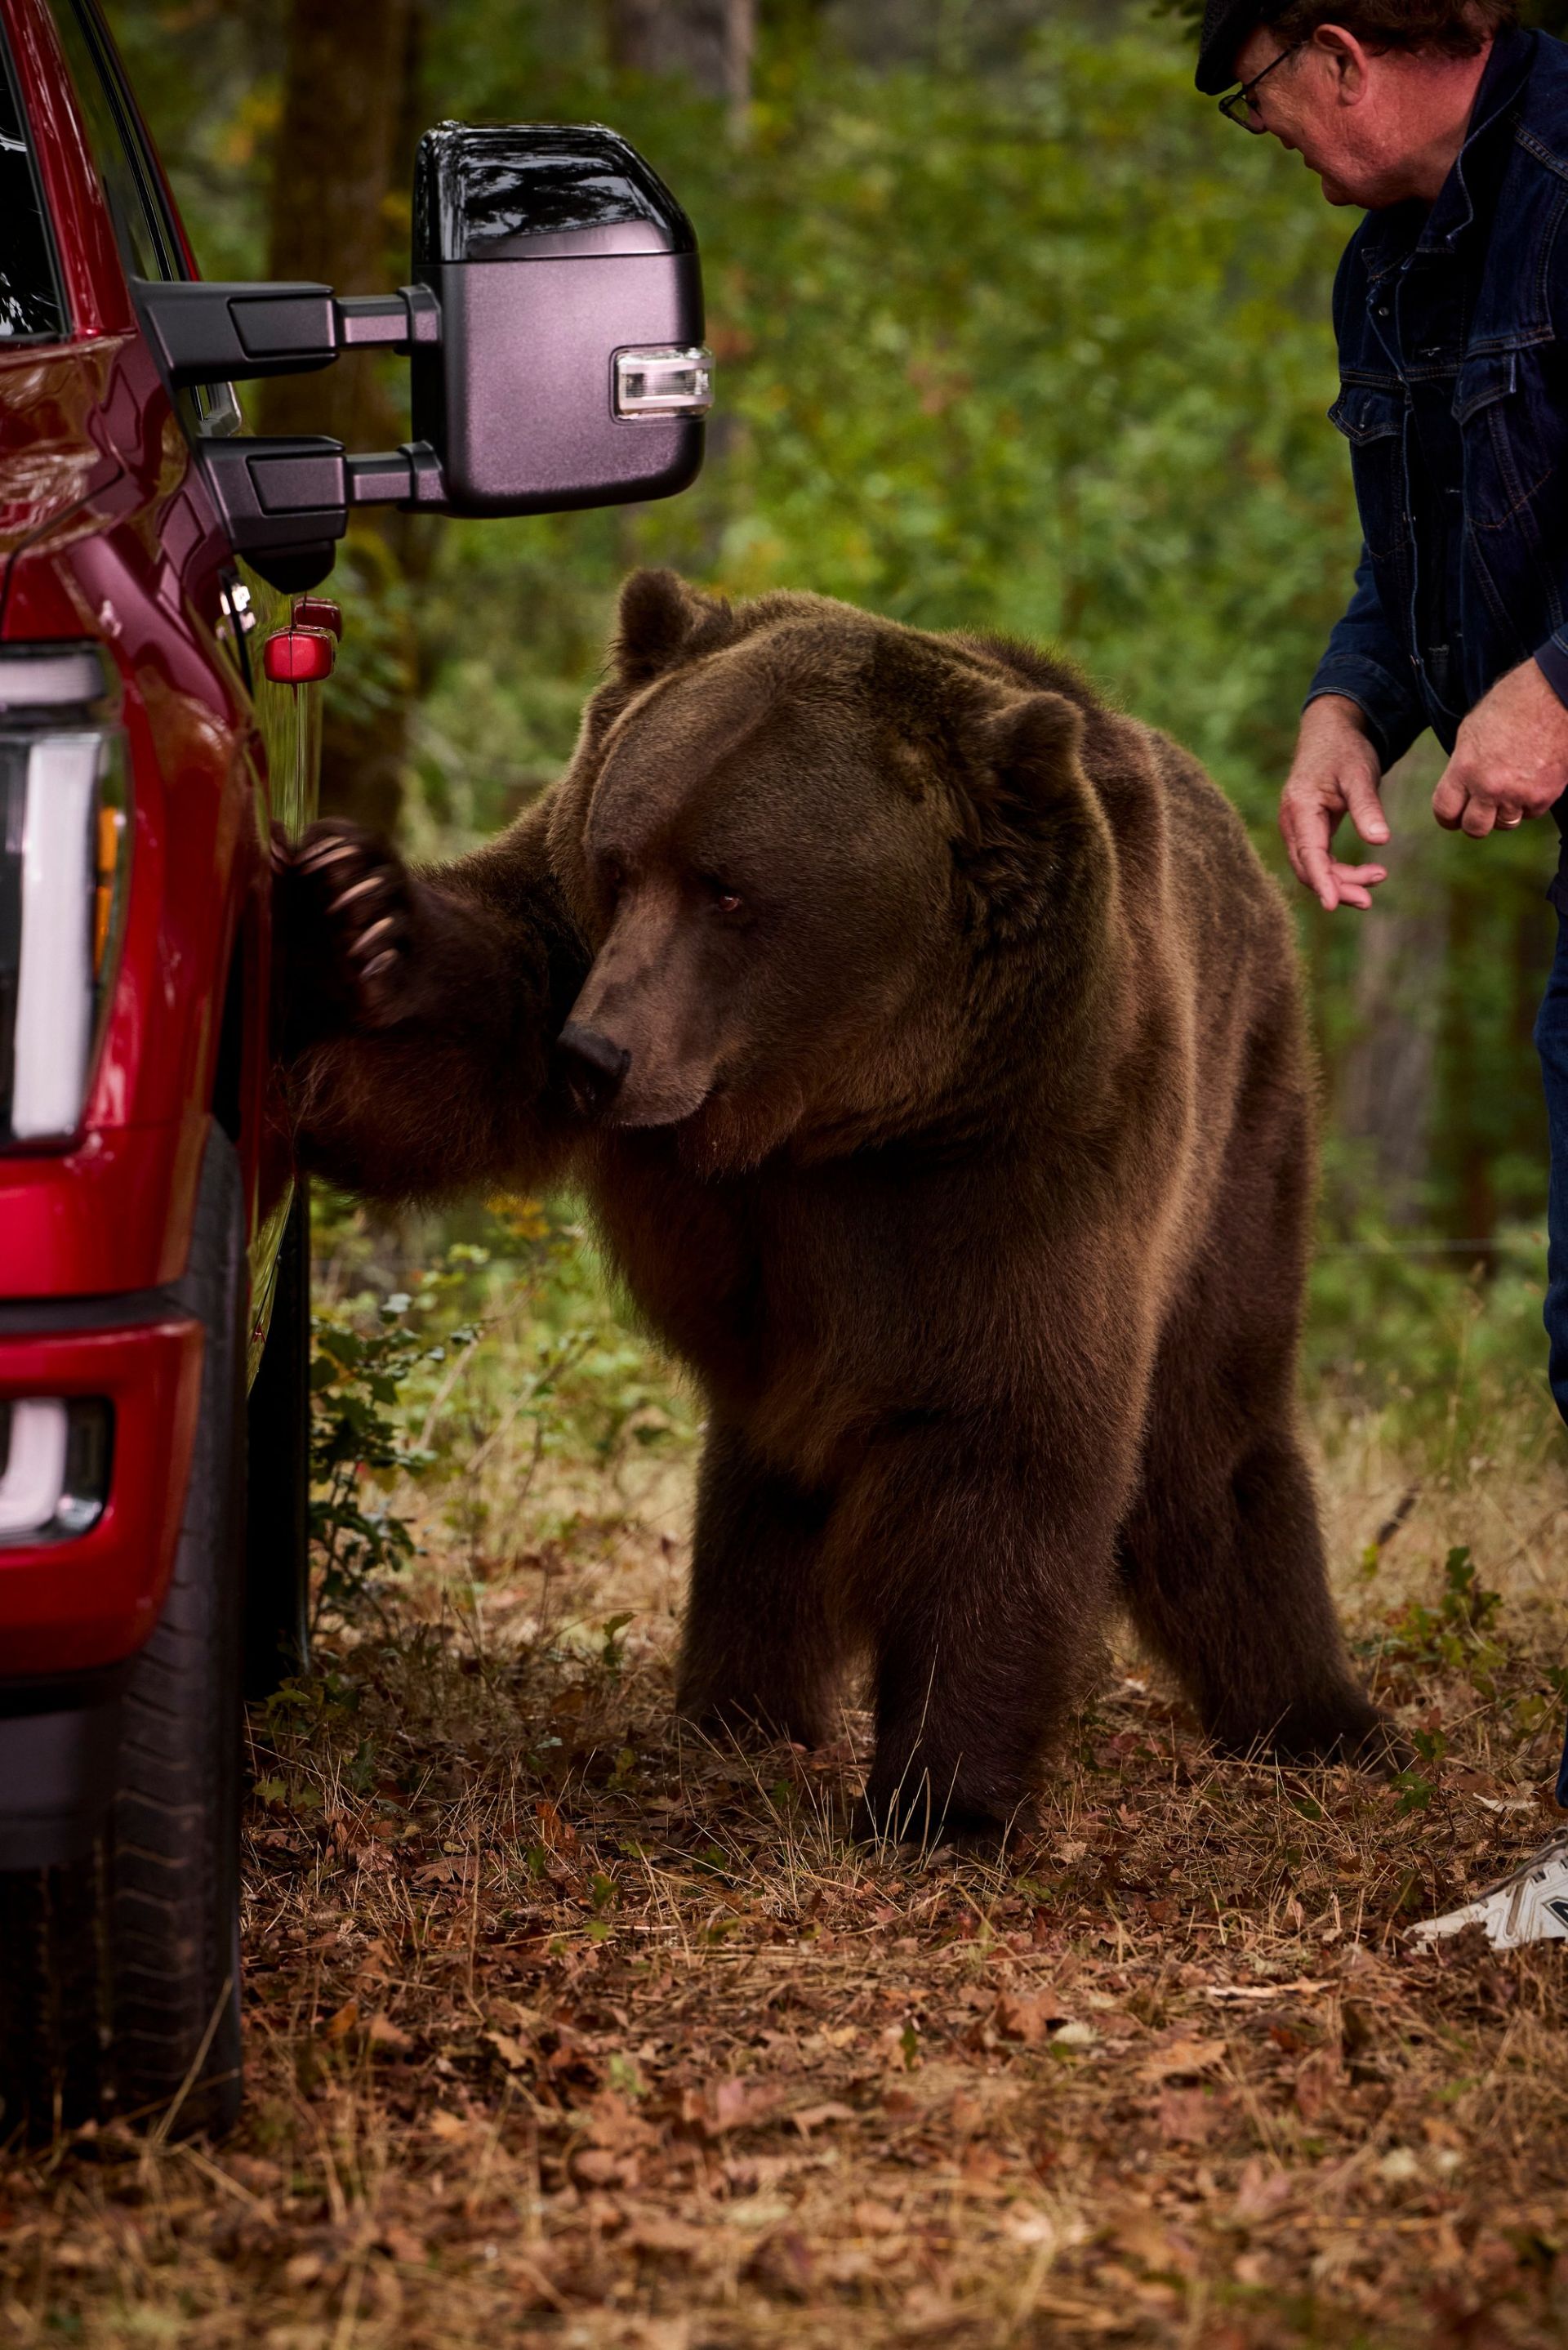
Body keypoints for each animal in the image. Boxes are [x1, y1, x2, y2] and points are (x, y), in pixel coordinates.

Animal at [279, 567, 1387, 1843]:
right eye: (621, 862)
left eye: (729, 890)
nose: (595, 1057)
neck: (829, 1107)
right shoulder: (572, 952)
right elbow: (457, 1034)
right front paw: (361, 917)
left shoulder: (1025, 1136)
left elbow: (1007, 1432)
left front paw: (940, 1800)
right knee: (768, 1475)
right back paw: (738, 1704)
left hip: (1243, 1115)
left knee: (1211, 1423)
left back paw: (1319, 1716)